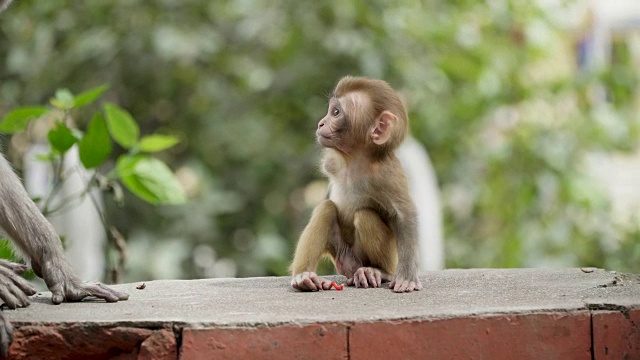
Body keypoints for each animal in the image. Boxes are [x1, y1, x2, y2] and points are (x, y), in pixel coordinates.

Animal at [292, 76, 422, 292]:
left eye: (336, 113)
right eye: (331, 110)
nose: (321, 123)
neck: (354, 161)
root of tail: (350, 264)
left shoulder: (387, 175)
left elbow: (405, 215)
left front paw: (407, 276)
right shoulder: (331, 161)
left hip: (375, 257)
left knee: (364, 215)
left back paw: (376, 271)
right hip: (338, 251)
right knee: (326, 209)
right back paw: (304, 276)